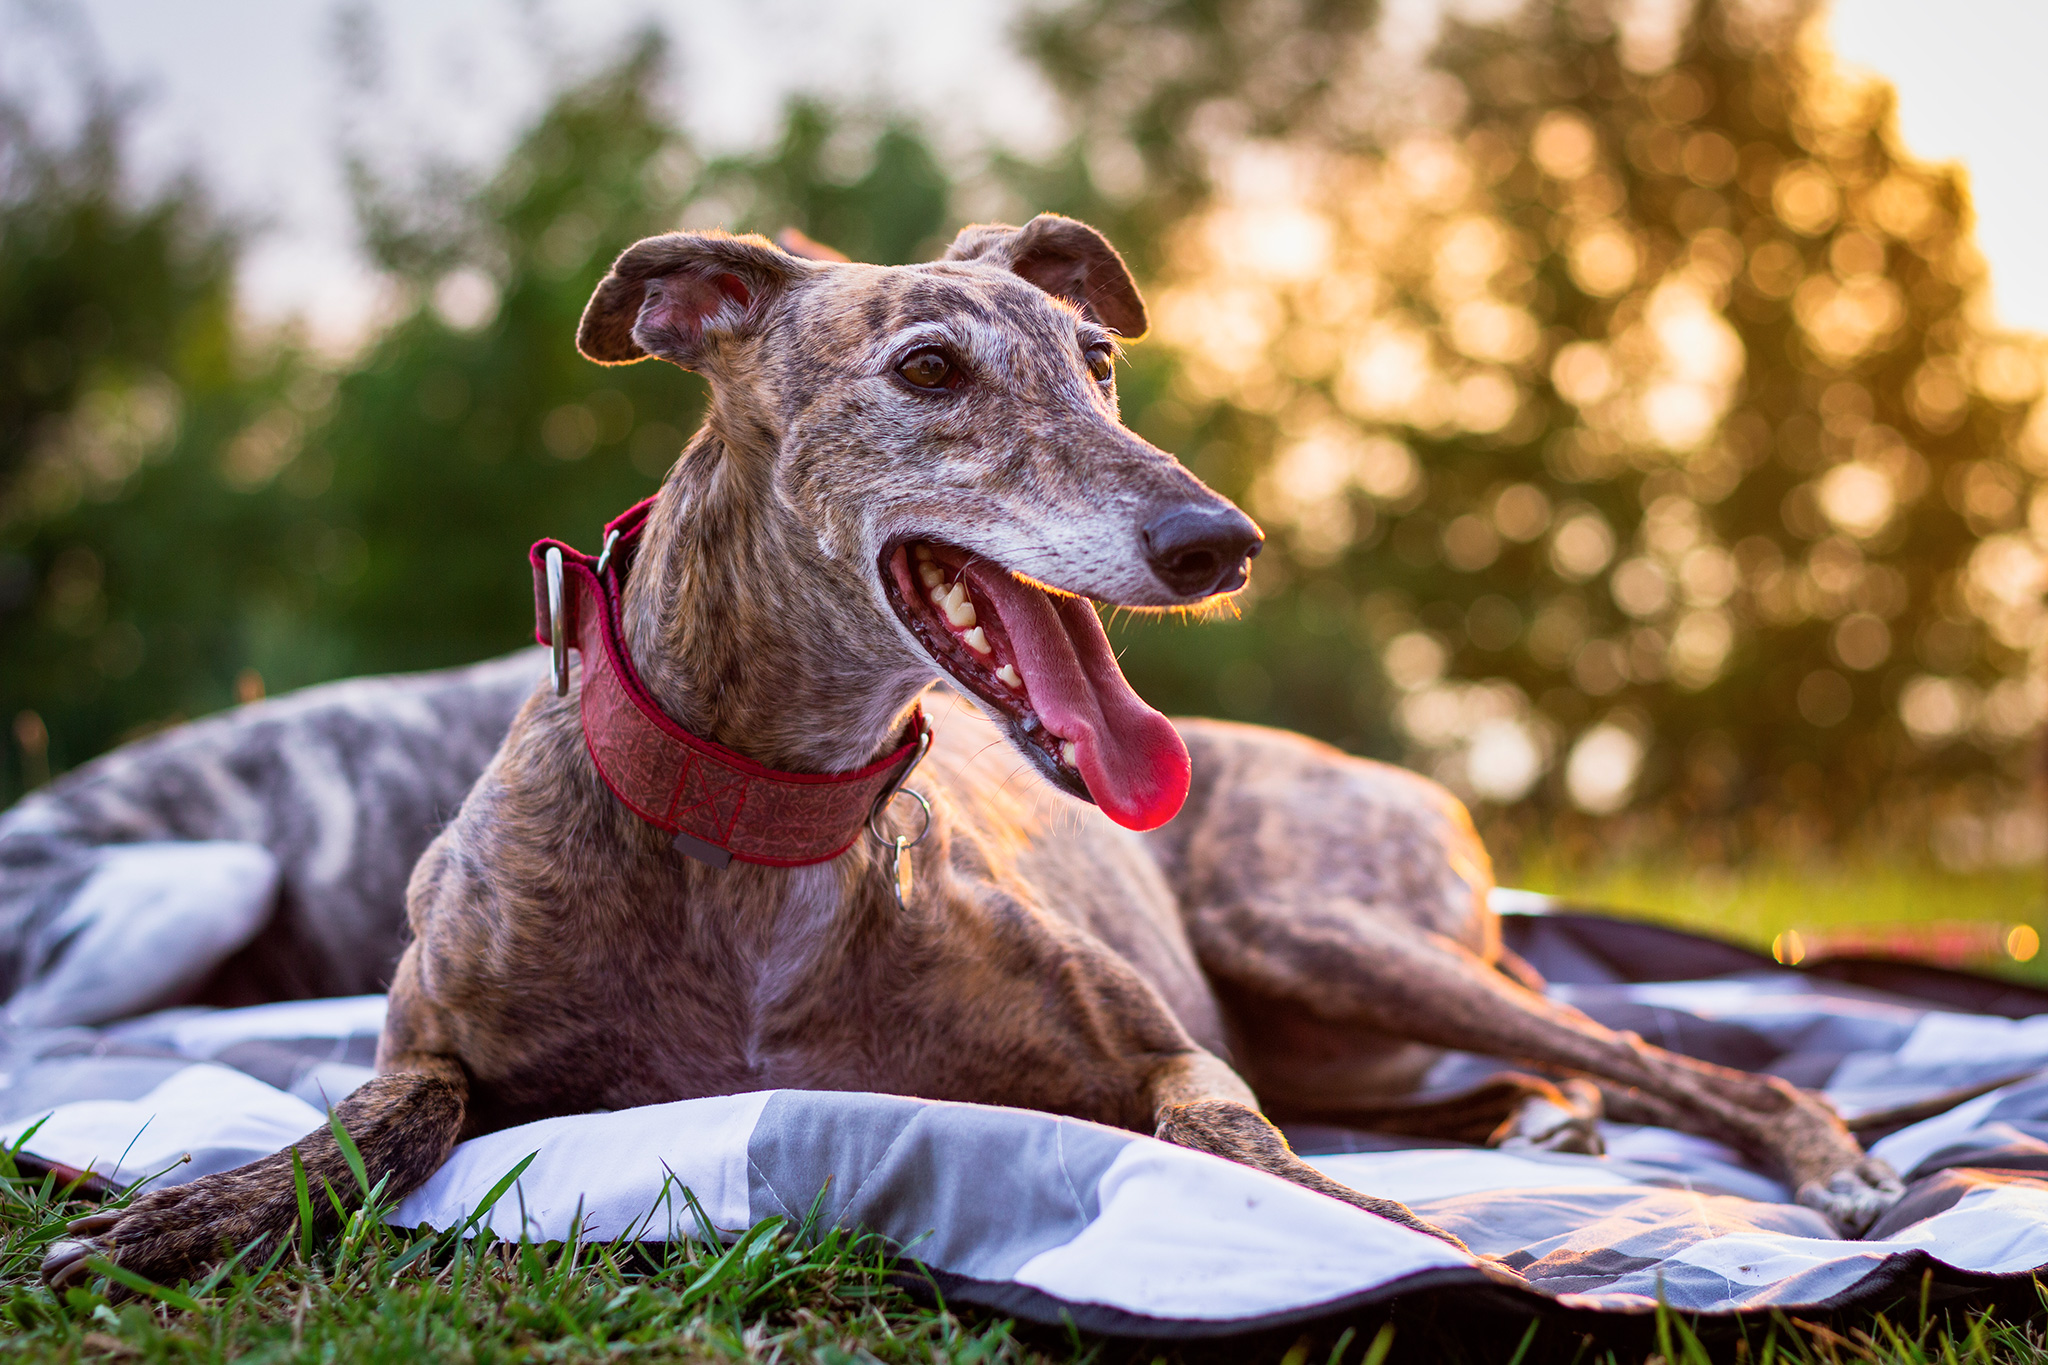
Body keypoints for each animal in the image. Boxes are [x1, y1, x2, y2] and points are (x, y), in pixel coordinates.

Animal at [48, 215, 1900, 1293]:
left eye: (1098, 360)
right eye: (930, 368)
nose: (1219, 542)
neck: (768, 817)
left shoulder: (1162, 1050)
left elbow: (1246, 1155)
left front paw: (1392, 1231)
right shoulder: (439, 1033)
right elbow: (378, 1118)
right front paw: (202, 1207)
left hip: (1319, 935)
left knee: (1696, 1062)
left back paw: (1815, 1161)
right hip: (1335, 1004)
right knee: (1553, 1069)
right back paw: (1545, 1130)